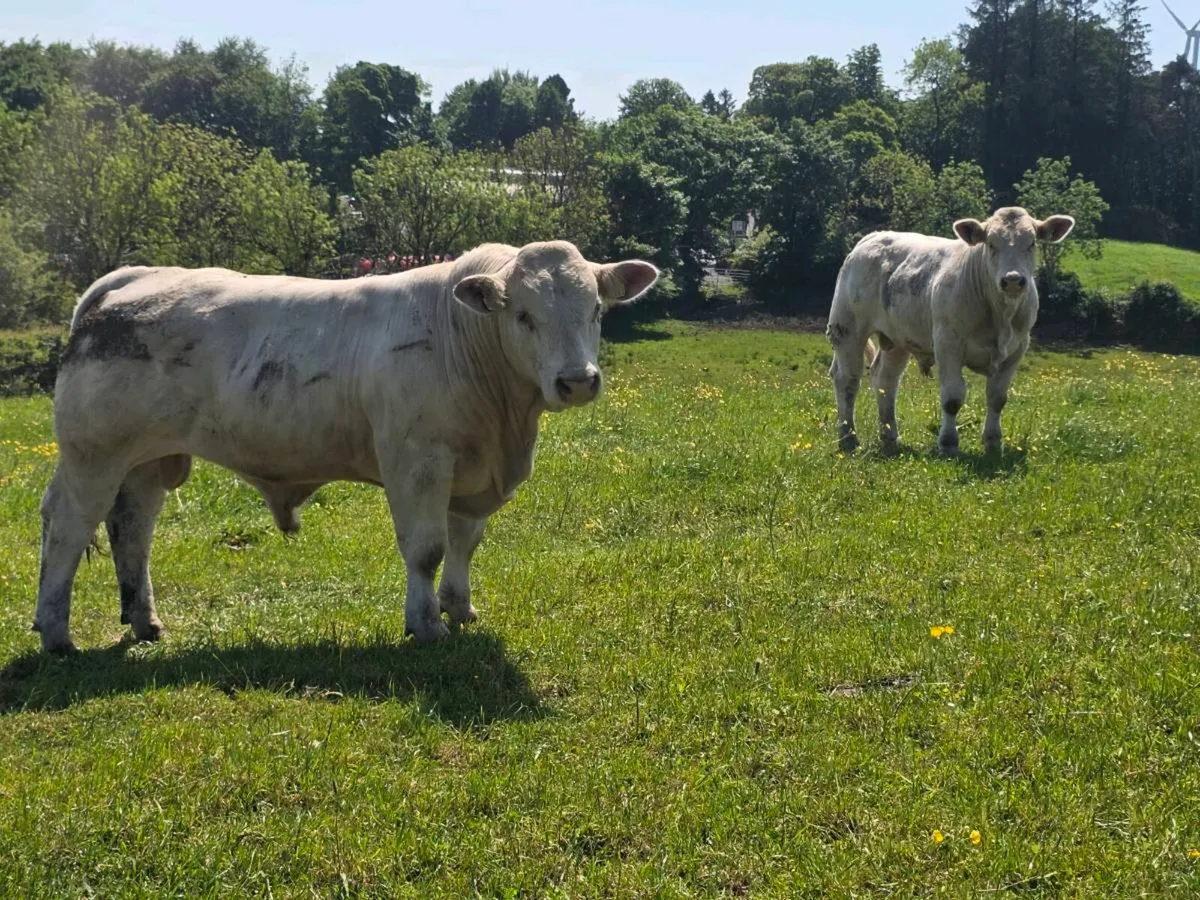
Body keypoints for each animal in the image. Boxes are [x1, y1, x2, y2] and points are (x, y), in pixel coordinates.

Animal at [32, 241, 658, 654]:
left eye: (596, 310)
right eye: (524, 315)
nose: (577, 381)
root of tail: (129, 278)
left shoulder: (471, 469)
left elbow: (464, 544)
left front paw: (459, 608)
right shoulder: (417, 461)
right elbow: (426, 548)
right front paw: (425, 623)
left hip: (144, 461)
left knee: (132, 530)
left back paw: (145, 621)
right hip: (92, 453)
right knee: (67, 526)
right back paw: (56, 633)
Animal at [825, 207, 1075, 455]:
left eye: (1031, 243)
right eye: (991, 244)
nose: (1013, 280)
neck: (1000, 317)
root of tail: (872, 237)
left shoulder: (1017, 349)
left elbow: (997, 398)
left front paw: (993, 443)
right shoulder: (948, 344)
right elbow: (952, 397)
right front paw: (948, 443)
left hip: (897, 339)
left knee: (885, 380)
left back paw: (889, 437)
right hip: (848, 328)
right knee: (847, 380)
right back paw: (848, 438)